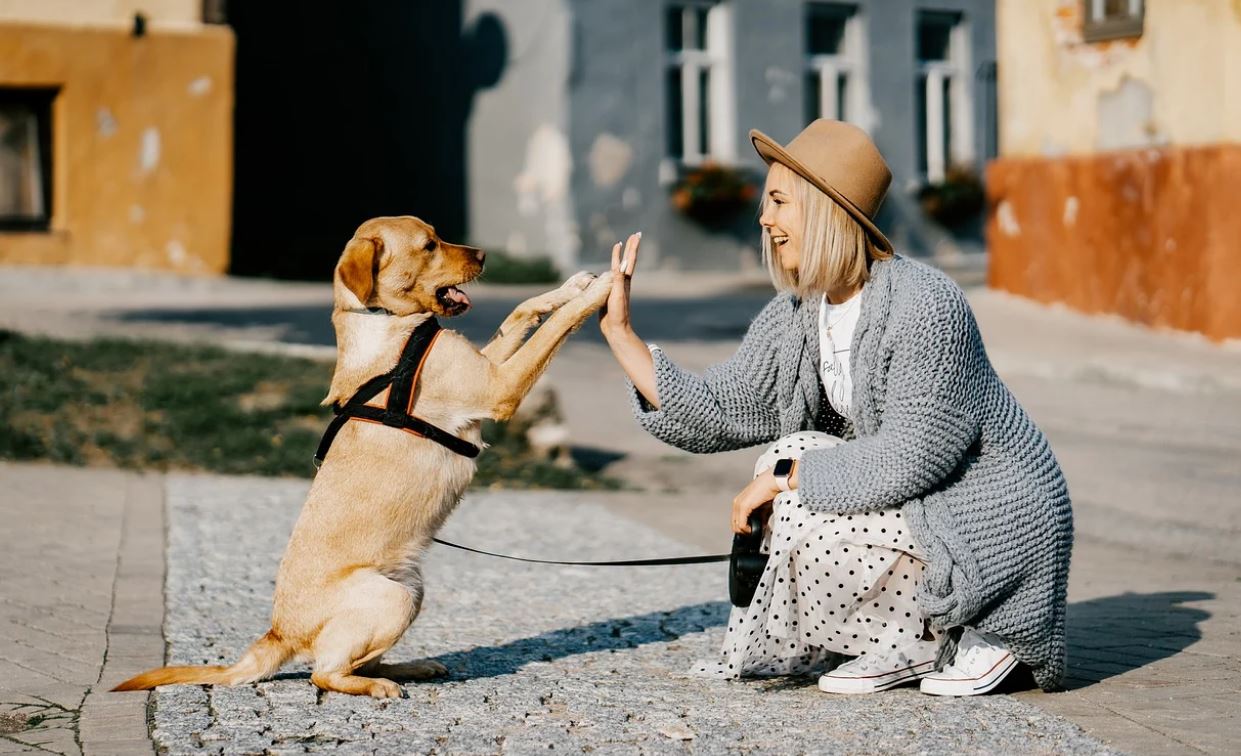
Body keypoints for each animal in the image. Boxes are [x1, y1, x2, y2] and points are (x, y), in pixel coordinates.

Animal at [118, 217, 613, 695]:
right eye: (429, 245)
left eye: (438, 236)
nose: (485, 255)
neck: (386, 323)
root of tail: (278, 632)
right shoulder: (498, 387)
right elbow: (555, 327)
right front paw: (603, 288)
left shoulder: (488, 366)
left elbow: (522, 311)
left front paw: (572, 285)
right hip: (392, 598)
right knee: (324, 673)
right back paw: (377, 686)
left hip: (411, 589)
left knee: (357, 660)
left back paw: (410, 668)